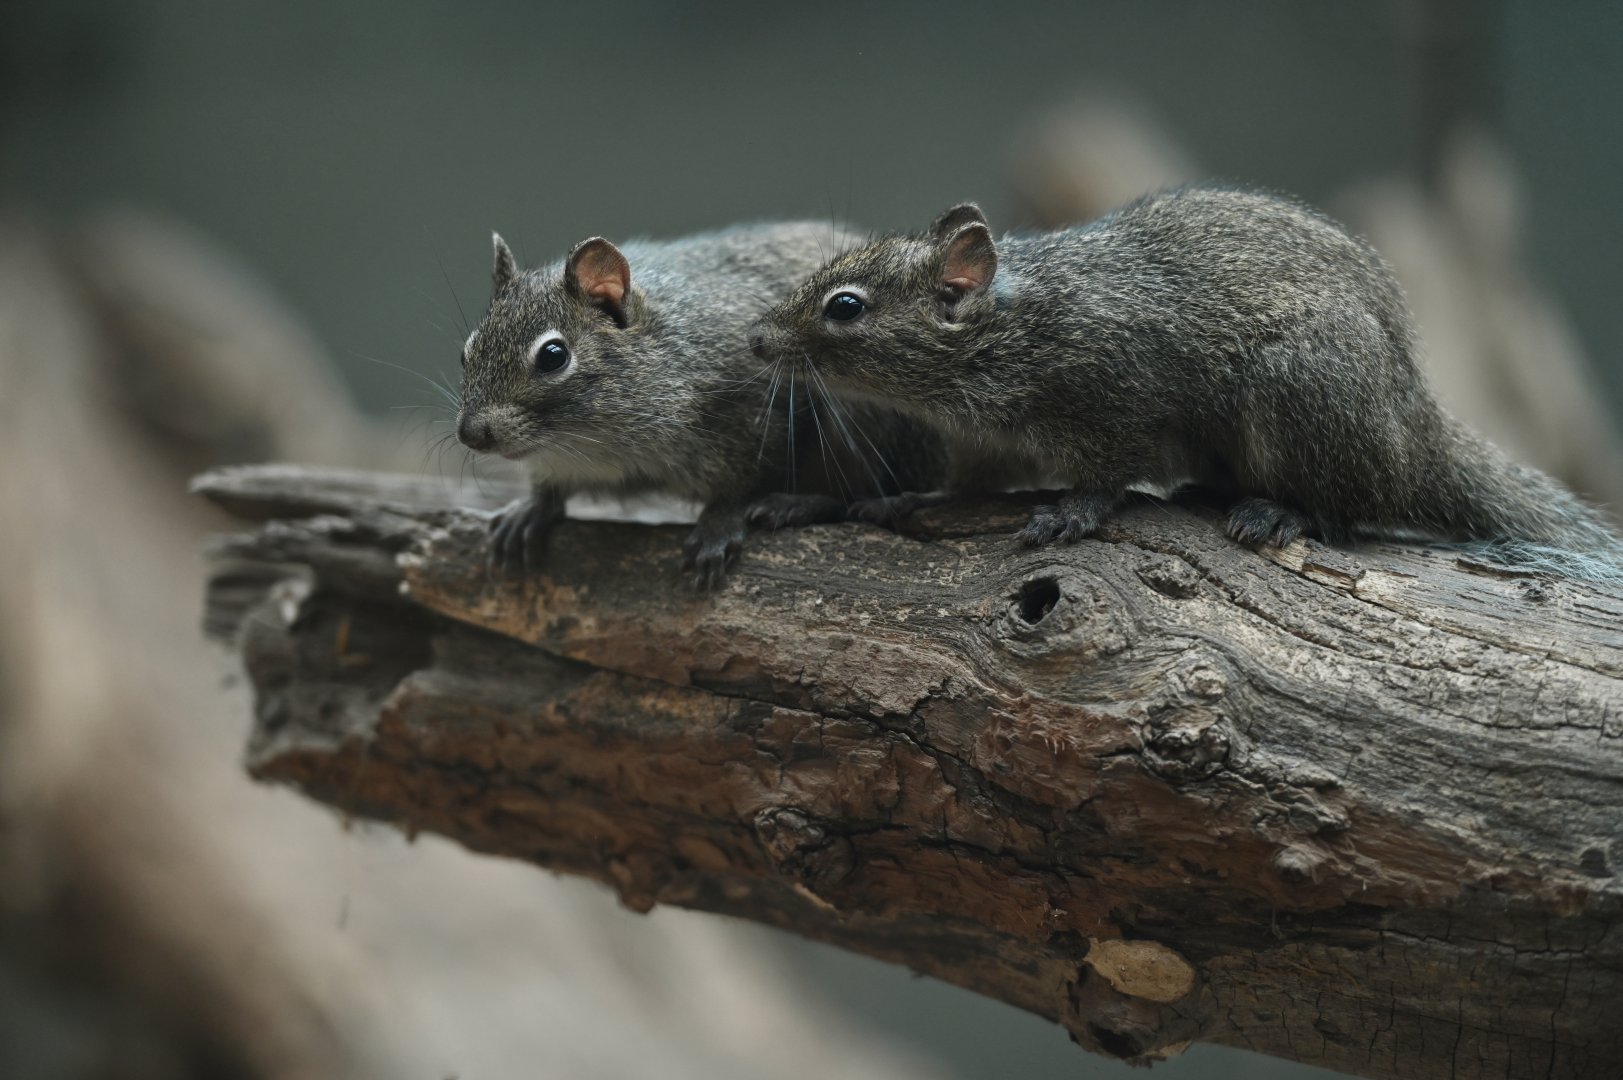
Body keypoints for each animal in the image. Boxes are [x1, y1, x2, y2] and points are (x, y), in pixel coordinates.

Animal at [455, 222, 939, 586]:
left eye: (554, 356)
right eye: (466, 350)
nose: (471, 434)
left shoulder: (753, 413)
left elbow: (739, 483)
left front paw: (717, 527)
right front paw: (532, 510)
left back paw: (796, 504)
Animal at [747, 186, 1623, 581]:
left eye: (845, 307)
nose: (757, 341)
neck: (1002, 340)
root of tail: (1420, 430)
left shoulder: (1119, 403)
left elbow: (1108, 476)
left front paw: (1072, 515)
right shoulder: (988, 448)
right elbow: (957, 487)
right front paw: (890, 500)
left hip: (1302, 392)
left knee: (1349, 507)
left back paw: (1277, 512)